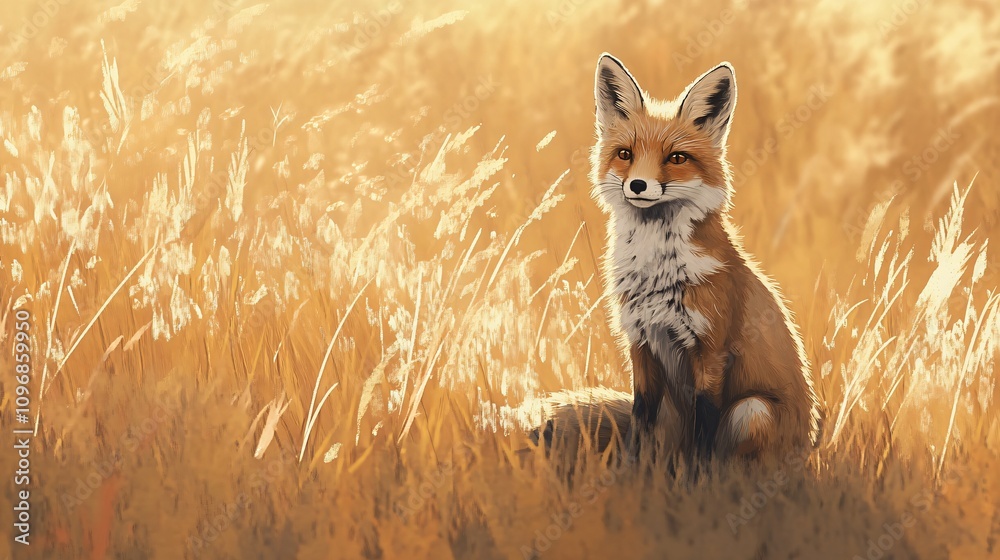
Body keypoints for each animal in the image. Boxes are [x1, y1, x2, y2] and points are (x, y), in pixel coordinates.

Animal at [531, 54, 819, 466]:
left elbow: (704, 434)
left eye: (677, 158)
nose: (637, 185)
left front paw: (698, 479)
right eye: (626, 154)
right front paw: (631, 474)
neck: (656, 274)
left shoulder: (711, 351)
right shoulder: (640, 343)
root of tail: (809, 453)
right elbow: (639, 424)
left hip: (752, 410)